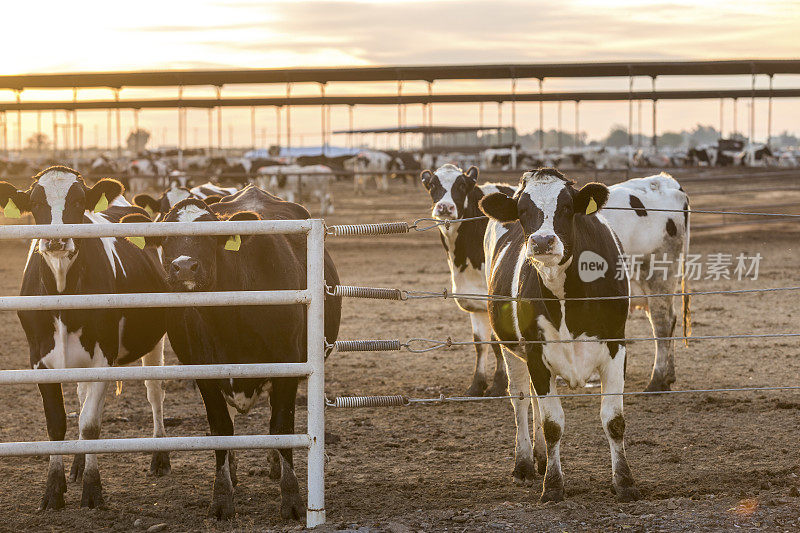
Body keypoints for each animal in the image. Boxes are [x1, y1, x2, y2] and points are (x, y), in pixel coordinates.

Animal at [0, 165, 169, 508]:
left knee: (154, 391)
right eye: (35, 203)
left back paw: (159, 456)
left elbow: (90, 424)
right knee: (81, 397)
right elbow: (57, 424)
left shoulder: (104, 356)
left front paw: (93, 489)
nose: (56, 241)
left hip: (154, 340)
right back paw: (77, 465)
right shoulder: (38, 359)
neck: (62, 291)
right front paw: (54, 489)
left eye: (78, 202)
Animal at [123, 185, 342, 516]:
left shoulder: (288, 366)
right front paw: (222, 496)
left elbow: (282, 423)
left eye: (211, 234)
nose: (184, 266)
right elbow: (220, 428)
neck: (229, 317)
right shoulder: (204, 373)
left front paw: (291, 498)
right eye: (164, 235)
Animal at [422, 163, 516, 394]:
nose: (445, 207)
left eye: (462, 184)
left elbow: (496, 341)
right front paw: (477, 385)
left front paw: (499, 384)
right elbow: (480, 343)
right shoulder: (474, 299)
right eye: (432, 184)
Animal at [478, 169, 640, 502]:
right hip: (512, 350)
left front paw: (625, 483)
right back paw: (525, 464)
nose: (542, 241)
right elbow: (552, 423)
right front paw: (552, 485)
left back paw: (540, 460)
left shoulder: (616, 346)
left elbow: (614, 420)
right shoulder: (536, 353)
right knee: (521, 399)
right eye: (522, 211)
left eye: (566, 207)